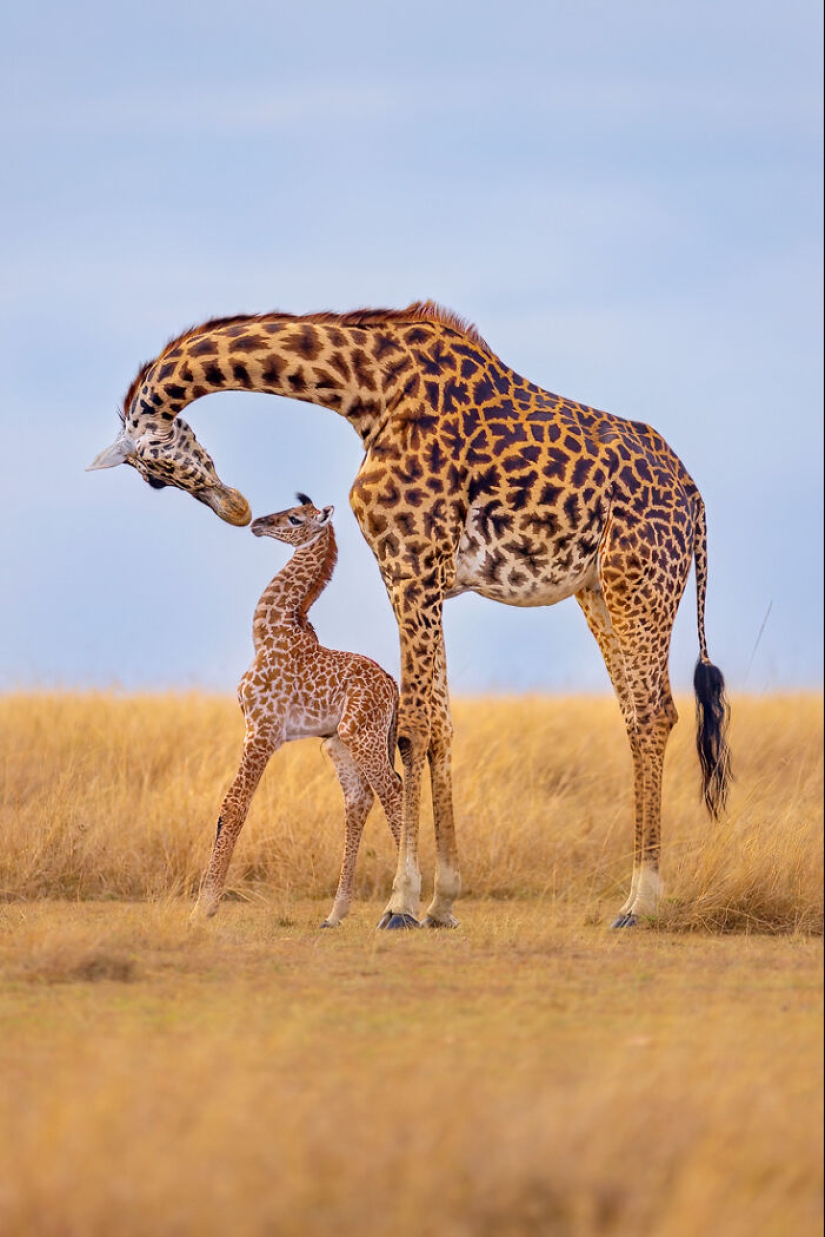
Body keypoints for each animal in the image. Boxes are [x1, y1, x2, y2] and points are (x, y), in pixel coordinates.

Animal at [191, 492, 403, 930]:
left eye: (294, 518)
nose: (257, 523)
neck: (269, 634)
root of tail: (391, 685)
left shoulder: (262, 729)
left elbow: (233, 805)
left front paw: (204, 906)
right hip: (339, 742)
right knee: (359, 801)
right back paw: (335, 914)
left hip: (364, 735)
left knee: (393, 789)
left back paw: (402, 906)